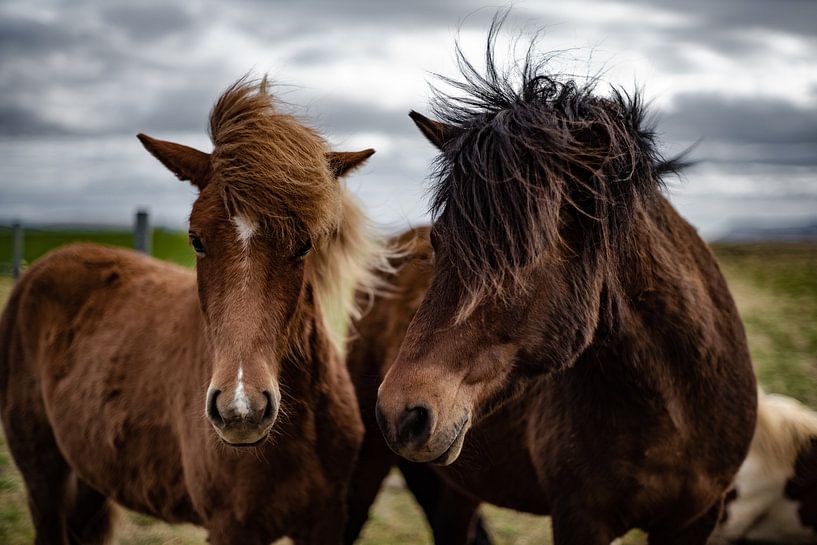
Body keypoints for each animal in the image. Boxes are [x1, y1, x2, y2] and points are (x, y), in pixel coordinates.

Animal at [0, 77, 384, 545]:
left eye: (305, 244)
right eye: (196, 240)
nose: (242, 410)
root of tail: (41, 267)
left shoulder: (326, 522)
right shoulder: (232, 528)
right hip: (42, 474)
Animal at [375, 22, 758, 545]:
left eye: (521, 253)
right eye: (438, 242)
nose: (400, 414)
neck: (675, 405)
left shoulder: (697, 519)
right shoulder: (580, 519)